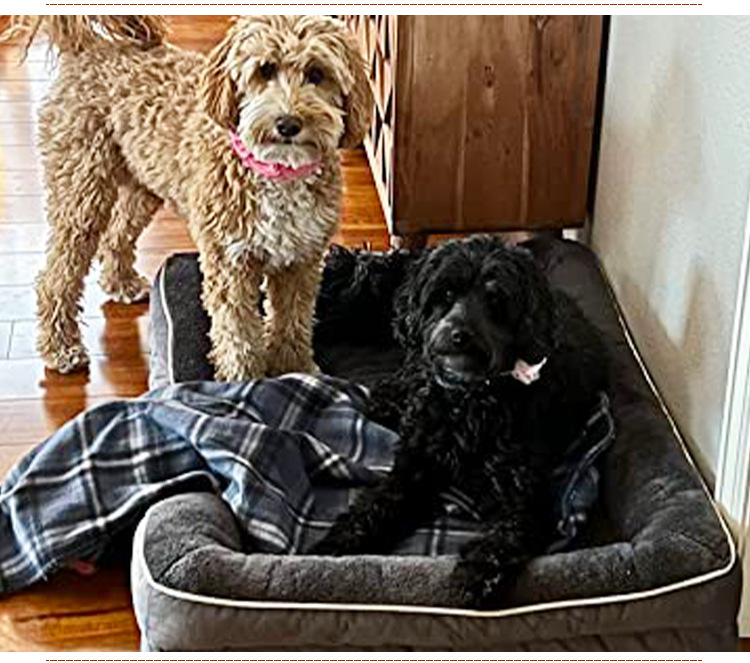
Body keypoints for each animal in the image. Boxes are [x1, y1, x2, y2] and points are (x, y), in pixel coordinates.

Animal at [6, 15, 371, 380]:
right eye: (264, 70)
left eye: (317, 73)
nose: (288, 123)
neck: (277, 170)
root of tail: (88, 47)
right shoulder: (229, 263)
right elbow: (238, 333)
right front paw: (243, 381)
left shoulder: (301, 260)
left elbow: (293, 321)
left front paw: (295, 370)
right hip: (82, 188)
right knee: (56, 276)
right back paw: (61, 348)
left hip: (143, 182)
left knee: (116, 235)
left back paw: (121, 283)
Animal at [311, 236, 609, 608]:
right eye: (445, 294)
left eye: (495, 300)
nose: (458, 335)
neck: (469, 400)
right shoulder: (415, 464)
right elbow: (378, 503)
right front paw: (337, 543)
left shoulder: (524, 497)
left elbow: (503, 539)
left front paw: (473, 578)